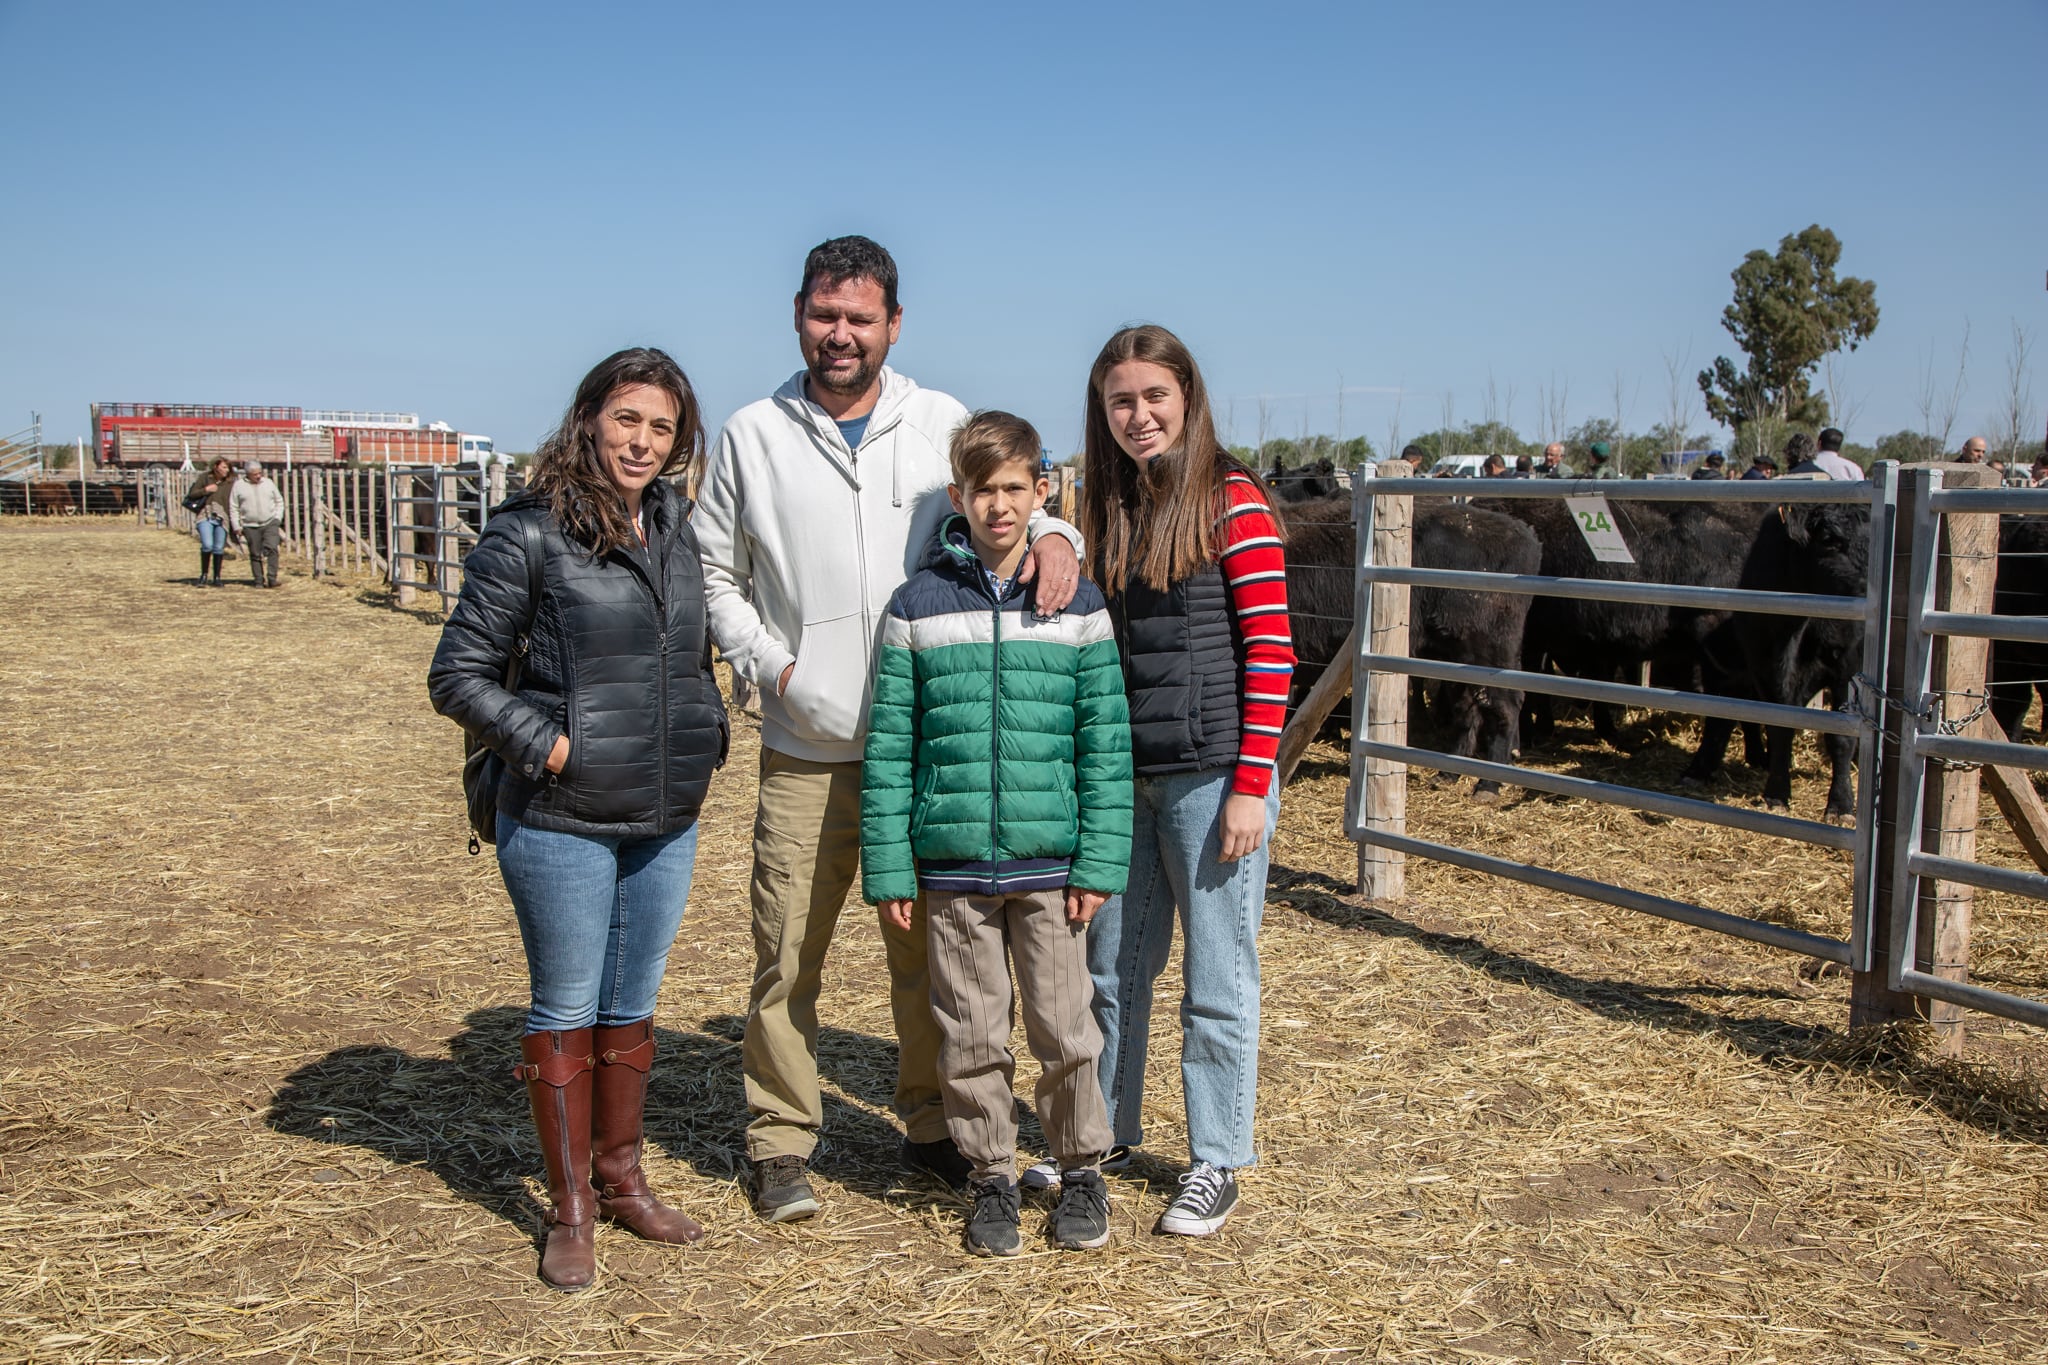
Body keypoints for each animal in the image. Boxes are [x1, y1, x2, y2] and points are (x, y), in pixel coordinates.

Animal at [1277, 499, 1540, 802]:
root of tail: (1524, 532)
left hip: (1488, 652)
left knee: (1504, 706)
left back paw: (1487, 786)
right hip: (1452, 658)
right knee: (1467, 710)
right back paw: (1447, 774)